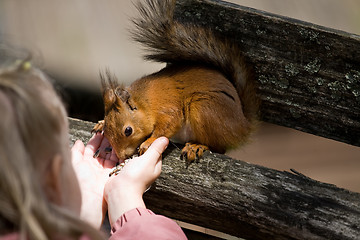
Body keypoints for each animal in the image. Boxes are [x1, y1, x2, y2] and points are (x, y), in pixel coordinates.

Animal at [93, 0, 258, 163]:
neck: (145, 101)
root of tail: (242, 127)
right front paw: (101, 123)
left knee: (218, 147)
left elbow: (169, 124)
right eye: (107, 131)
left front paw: (149, 141)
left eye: (128, 130)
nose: (122, 156)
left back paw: (196, 146)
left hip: (204, 108)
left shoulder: (167, 108)